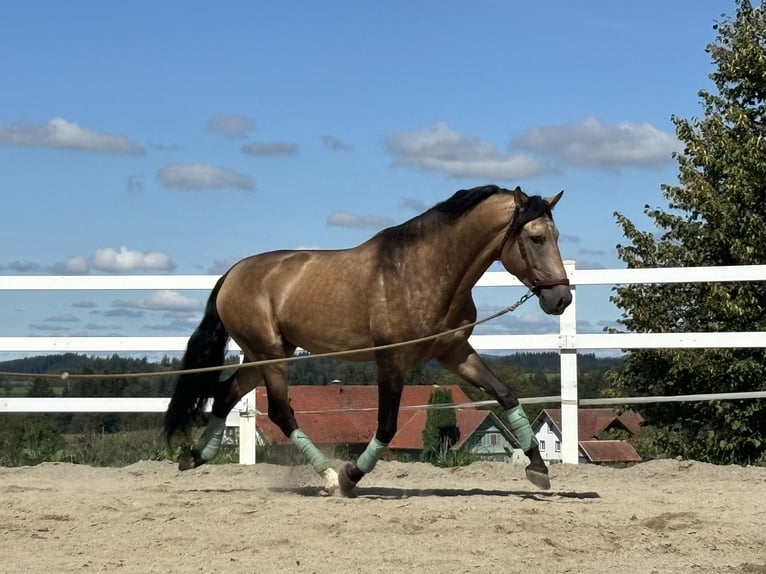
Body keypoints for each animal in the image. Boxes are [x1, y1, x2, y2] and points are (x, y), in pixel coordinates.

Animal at [164, 184, 568, 496]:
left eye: (557, 236)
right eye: (536, 238)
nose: (561, 299)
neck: (422, 270)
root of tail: (232, 273)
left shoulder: (454, 352)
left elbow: (505, 394)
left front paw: (538, 468)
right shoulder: (391, 360)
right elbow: (386, 426)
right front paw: (350, 476)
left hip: (261, 356)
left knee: (225, 394)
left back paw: (195, 457)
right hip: (271, 356)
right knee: (280, 411)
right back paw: (328, 476)